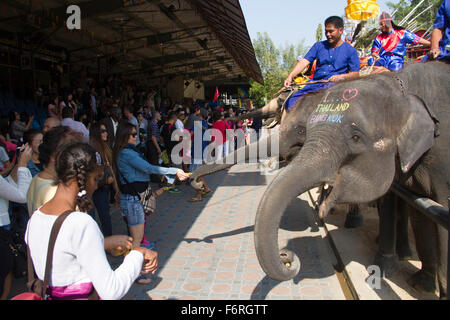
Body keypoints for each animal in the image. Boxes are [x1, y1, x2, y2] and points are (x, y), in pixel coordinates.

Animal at [255, 60, 448, 298]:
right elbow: (419, 211)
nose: (286, 256)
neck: (401, 86)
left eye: (356, 137)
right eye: (307, 130)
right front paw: (417, 284)